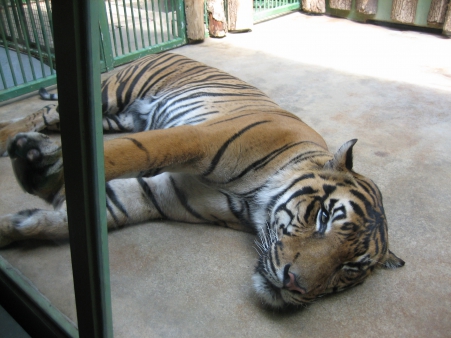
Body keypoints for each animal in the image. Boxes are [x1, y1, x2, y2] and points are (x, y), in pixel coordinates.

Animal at [0, 52, 404, 306]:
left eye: (350, 268)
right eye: (323, 217)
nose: (296, 285)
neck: (251, 204)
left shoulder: (159, 194)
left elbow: (104, 207)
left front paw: (16, 225)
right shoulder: (196, 139)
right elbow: (133, 151)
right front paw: (47, 169)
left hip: (115, 116)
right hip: (109, 93)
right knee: (43, 113)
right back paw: (7, 135)